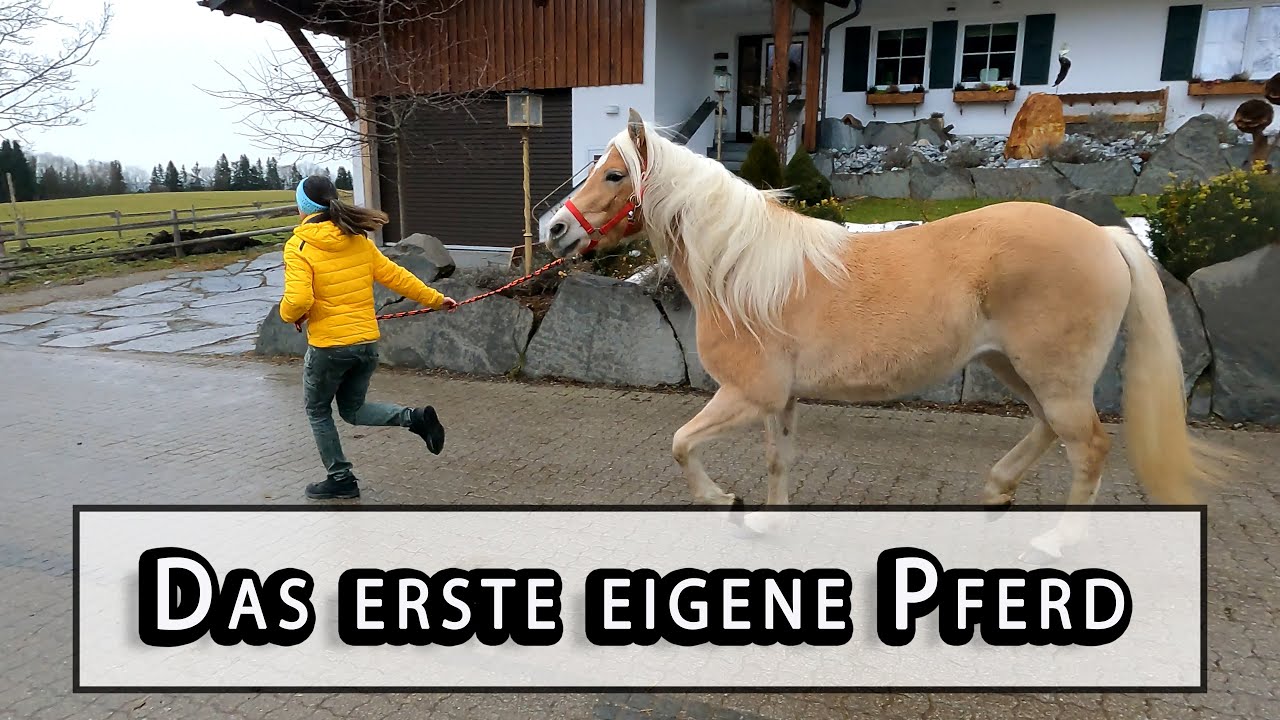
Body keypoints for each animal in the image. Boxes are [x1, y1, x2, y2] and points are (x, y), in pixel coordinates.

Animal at [543, 109, 1226, 547]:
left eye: (615, 174)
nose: (554, 229)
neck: (743, 271)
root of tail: (1107, 237)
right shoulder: (778, 401)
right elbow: (777, 459)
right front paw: (769, 522)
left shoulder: (747, 395)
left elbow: (682, 444)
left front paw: (727, 504)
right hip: (1015, 368)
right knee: (1047, 429)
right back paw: (997, 492)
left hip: (1052, 377)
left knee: (1088, 447)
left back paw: (1059, 542)